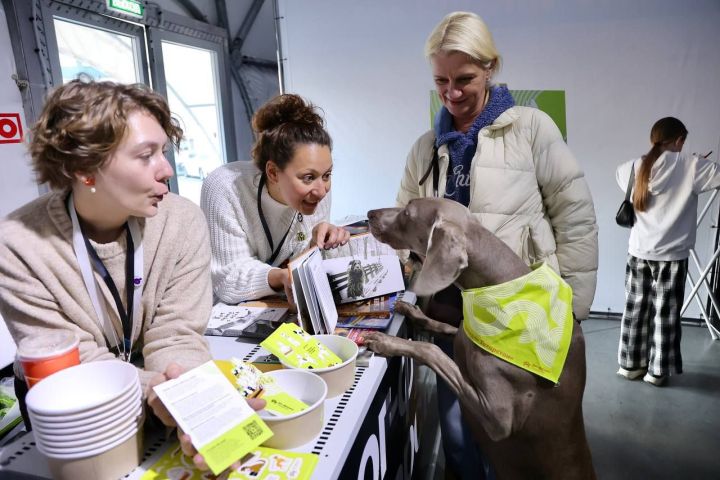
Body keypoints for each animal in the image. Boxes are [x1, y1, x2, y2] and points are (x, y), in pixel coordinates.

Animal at [362, 198, 592, 480]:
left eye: (407, 212)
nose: (369, 214)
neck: (497, 288)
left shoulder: (498, 419)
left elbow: (432, 351)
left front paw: (387, 342)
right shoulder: (463, 333)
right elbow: (441, 328)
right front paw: (410, 310)